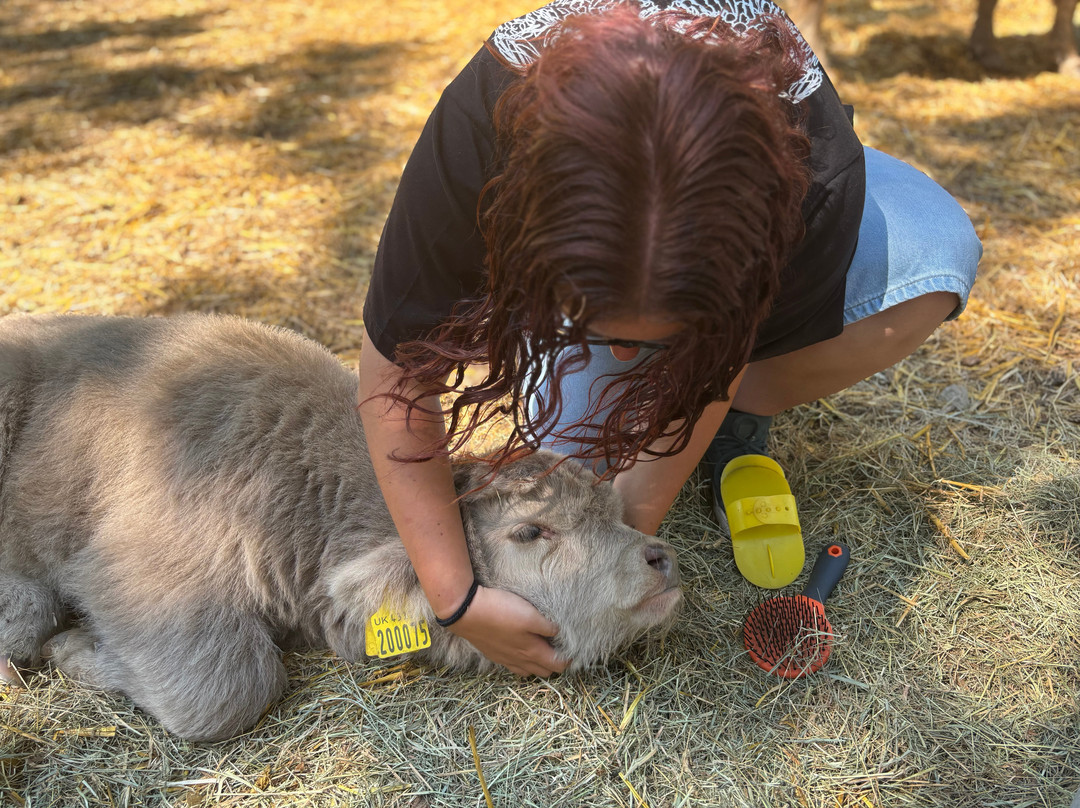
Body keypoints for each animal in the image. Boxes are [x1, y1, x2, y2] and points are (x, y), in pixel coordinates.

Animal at [0, 313, 681, 741]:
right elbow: (226, 690)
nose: (659, 559)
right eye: (531, 533)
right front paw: (74, 649)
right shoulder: (133, 569)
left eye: (614, 513)